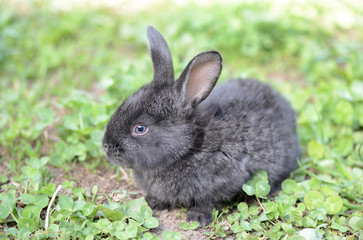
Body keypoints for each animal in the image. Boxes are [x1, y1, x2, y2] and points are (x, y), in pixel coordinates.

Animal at [102, 26, 302, 227]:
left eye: (140, 128)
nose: (105, 146)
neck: (190, 145)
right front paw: (152, 202)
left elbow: (210, 200)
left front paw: (197, 217)